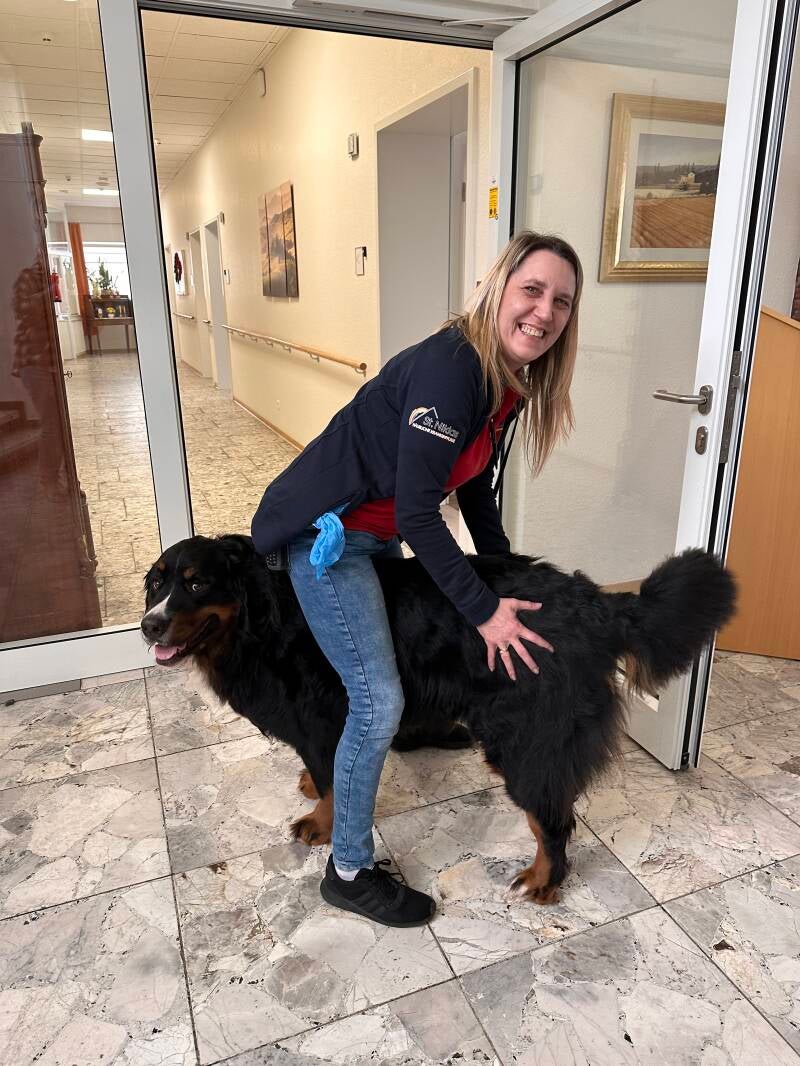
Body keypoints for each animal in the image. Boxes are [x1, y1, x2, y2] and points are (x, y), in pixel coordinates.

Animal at [141, 535, 735, 903]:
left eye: (196, 583)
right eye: (156, 583)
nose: (148, 625)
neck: (262, 617)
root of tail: (597, 604)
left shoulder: (325, 718)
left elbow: (336, 781)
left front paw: (320, 822)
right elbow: (324, 773)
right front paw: (310, 784)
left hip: (525, 735)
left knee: (552, 818)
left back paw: (544, 879)